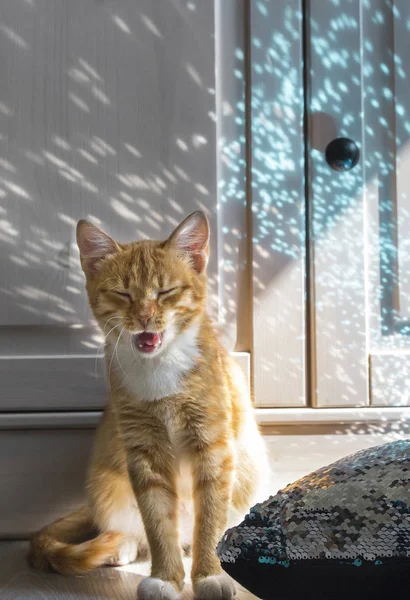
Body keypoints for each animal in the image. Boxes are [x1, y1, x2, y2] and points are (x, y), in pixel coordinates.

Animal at [28, 211, 266, 600]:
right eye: (122, 293)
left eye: (166, 292)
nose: (143, 317)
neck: (160, 369)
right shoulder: (144, 451)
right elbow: (157, 523)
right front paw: (166, 577)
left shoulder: (213, 446)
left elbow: (210, 519)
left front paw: (209, 574)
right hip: (107, 482)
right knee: (128, 528)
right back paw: (120, 545)